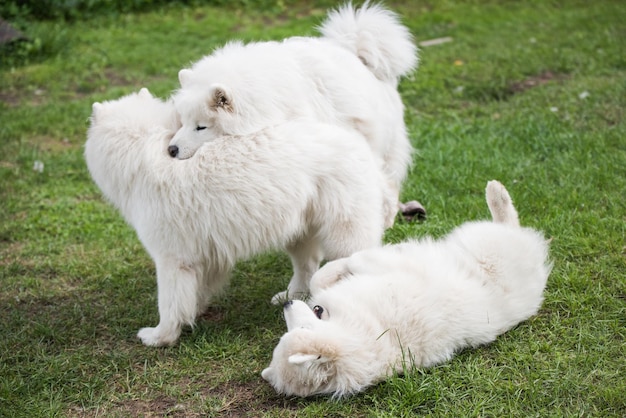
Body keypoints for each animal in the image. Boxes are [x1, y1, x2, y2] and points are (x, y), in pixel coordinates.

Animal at [84, 89, 390, 346]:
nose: (172, 150)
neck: (144, 148)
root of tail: (358, 144)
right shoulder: (203, 253)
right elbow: (196, 291)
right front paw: (194, 311)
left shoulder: (171, 258)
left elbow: (170, 302)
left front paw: (159, 337)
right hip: (298, 228)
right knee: (307, 265)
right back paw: (290, 296)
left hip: (343, 231)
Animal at [260, 180, 548, 398]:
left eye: (298, 328)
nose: (287, 304)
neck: (369, 333)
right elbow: (335, 271)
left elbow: (326, 274)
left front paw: (339, 266)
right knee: (510, 222)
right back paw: (497, 193)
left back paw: (495, 191)